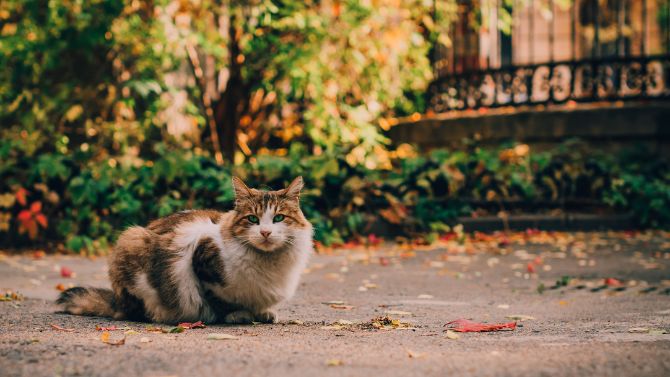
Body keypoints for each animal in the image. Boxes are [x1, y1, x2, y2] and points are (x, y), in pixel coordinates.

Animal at [56, 176, 314, 324]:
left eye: (279, 218)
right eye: (253, 219)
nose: (266, 233)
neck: (268, 262)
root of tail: (117, 301)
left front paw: (263, 313)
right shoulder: (202, 264)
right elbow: (220, 301)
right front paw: (237, 314)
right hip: (132, 240)